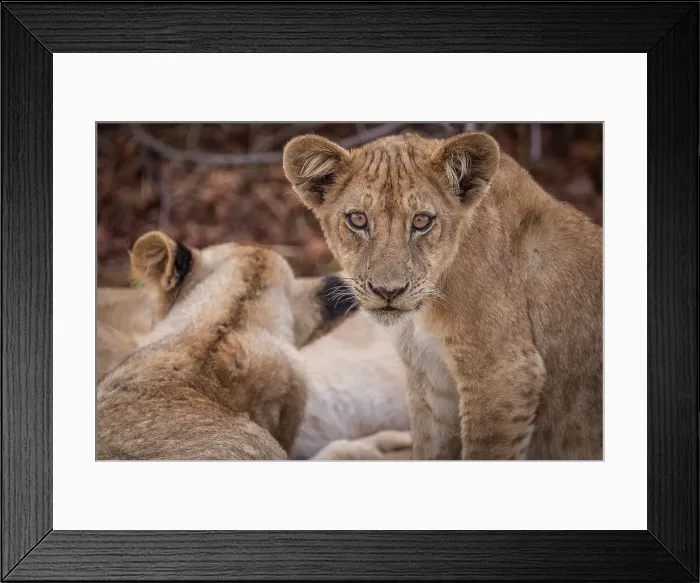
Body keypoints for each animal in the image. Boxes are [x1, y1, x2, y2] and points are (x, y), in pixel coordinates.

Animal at [283, 130, 602, 460]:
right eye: (358, 219)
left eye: (421, 221)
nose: (388, 291)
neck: (424, 312)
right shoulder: (429, 377)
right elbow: (430, 448)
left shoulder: (504, 374)